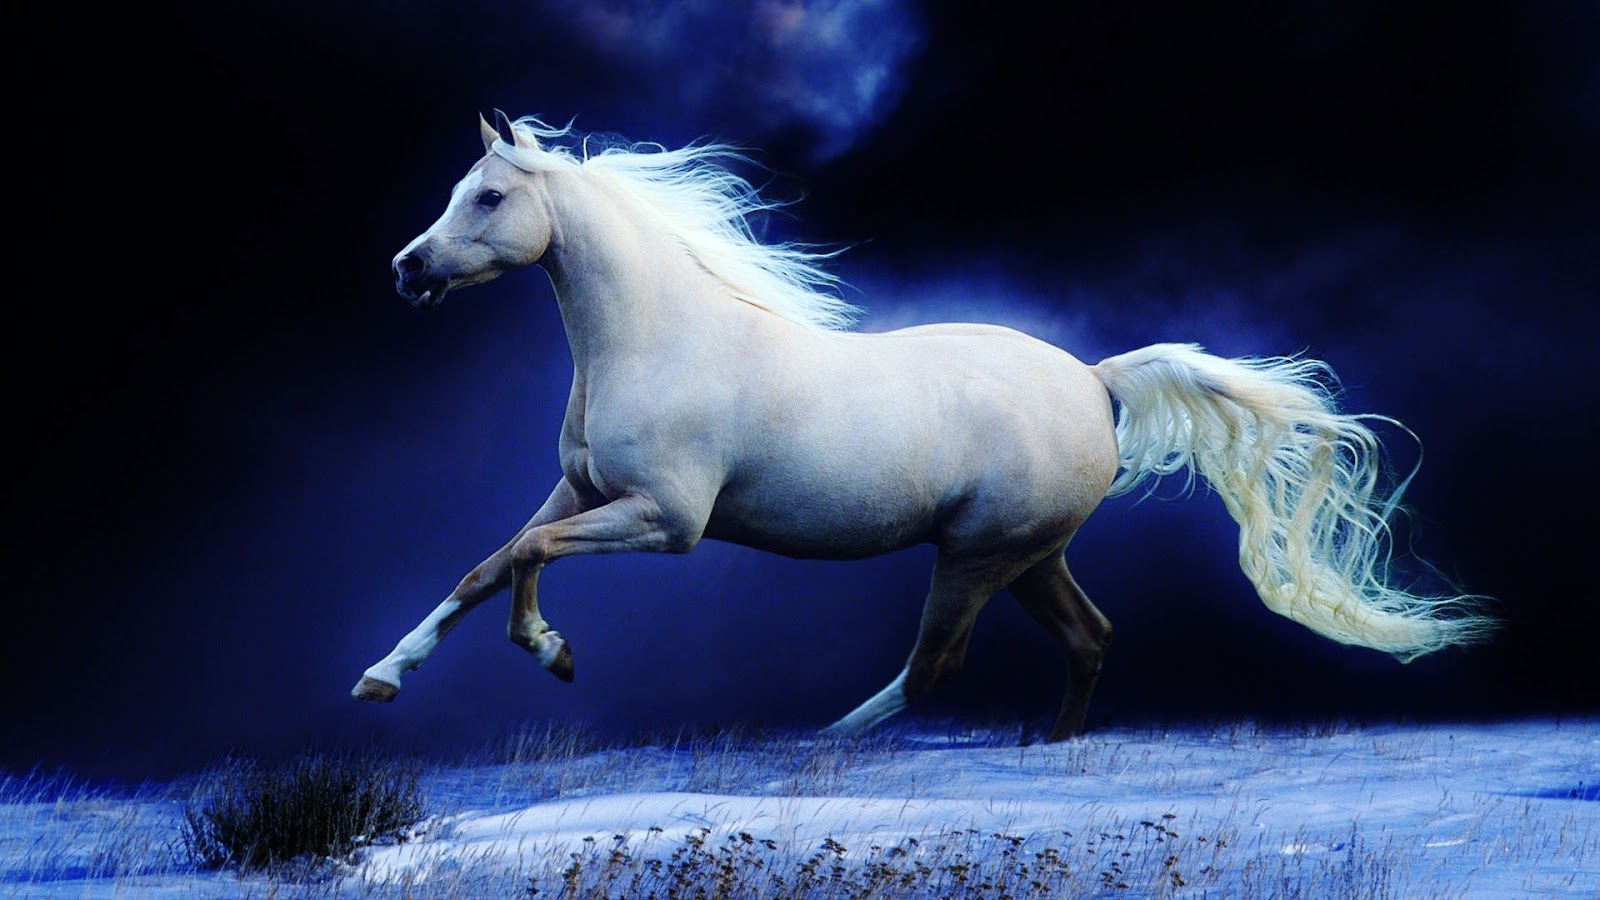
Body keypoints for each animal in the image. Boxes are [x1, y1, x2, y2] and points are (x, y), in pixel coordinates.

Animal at [352, 110, 1493, 742]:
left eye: (488, 196)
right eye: (459, 190)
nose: (405, 270)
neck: (658, 339)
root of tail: (1093, 378)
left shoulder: (664, 521)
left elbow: (526, 559)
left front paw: (552, 654)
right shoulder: (582, 491)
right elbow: (486, 563)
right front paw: (381, 677)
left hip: (977, 556)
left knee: (937, 667)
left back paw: (817, 743)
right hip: (1030, 555)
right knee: (1089, 637)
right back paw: (1049, 748)